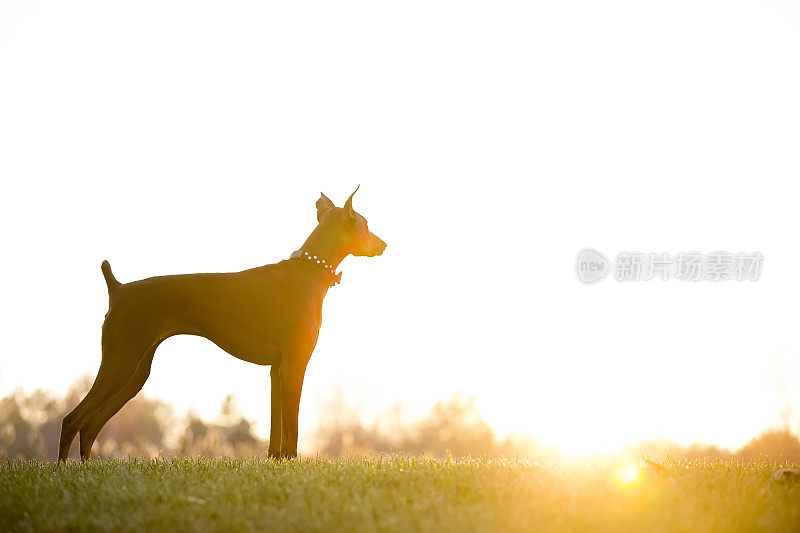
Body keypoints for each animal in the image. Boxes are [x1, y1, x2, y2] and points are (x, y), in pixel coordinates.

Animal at [59, 186, 388, 458]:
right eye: (366, 225)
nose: (384, 245)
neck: (309, 272)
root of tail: (118, 288)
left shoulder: (276, 370)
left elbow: (276, 430)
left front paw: (276, 462)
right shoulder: (294, 365)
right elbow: (291, 428)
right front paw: (294, 462)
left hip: (134, 375)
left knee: (90, 425)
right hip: (120, 363)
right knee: (72, 419)